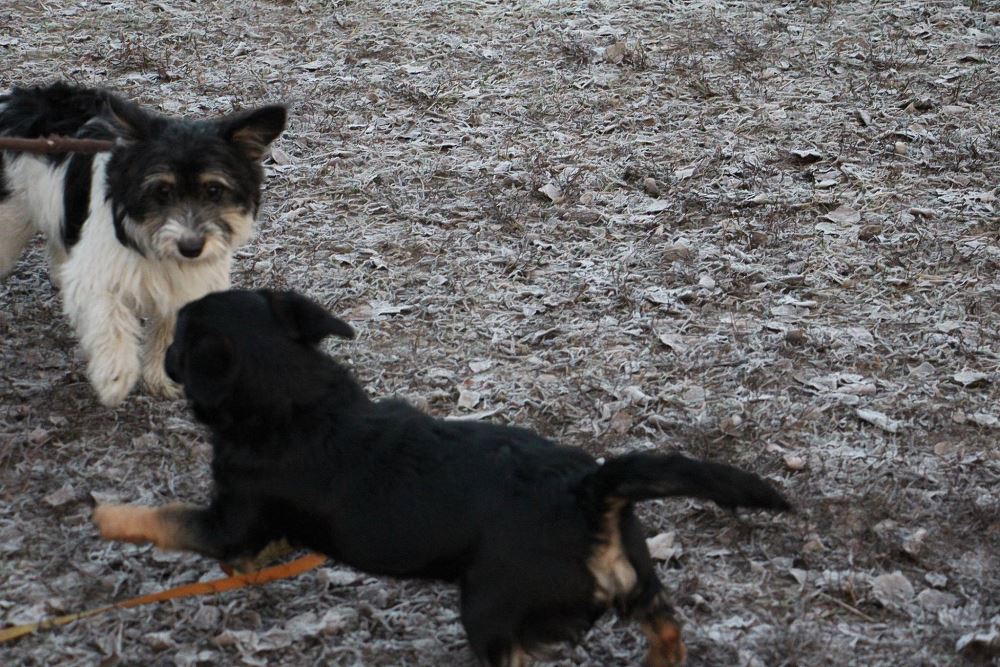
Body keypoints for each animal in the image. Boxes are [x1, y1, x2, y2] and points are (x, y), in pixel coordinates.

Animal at [0, 83, 286, 406]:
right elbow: (109, 316)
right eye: (162, 190)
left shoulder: (188, 283)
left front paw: (161, 378)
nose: (190, 248)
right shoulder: (99, 272)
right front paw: (115, 375)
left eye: (214, 190)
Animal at [93, 289, 791, 667]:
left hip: (488, 610)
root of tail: (587, 492)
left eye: (179, 340)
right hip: (636, 578)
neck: (297, 398)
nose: (166, 352)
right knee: (667, 622)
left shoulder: (228, 519)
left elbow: (163, 519)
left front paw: (105, 515)